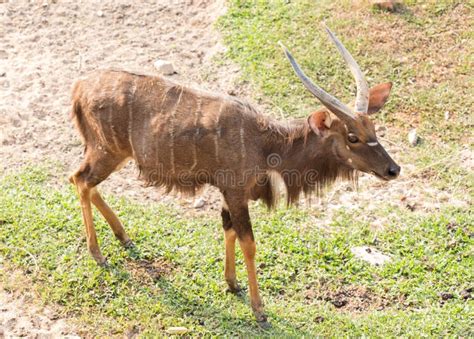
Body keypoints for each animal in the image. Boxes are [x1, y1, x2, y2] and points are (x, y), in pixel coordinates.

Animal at [69, 25, 400, 326]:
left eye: (373, 129)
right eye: (352, 137)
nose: (393, 169)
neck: (267, 145)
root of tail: (79, 87)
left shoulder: (229, 193)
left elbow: (227, 228)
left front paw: (232, 283)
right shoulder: (236, 191)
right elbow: (248, 243)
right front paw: (259, 311)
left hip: (114, 155)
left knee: (85, 182)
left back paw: (123, 237)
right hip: (107, 151)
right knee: (80, 180)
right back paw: (97, 254)